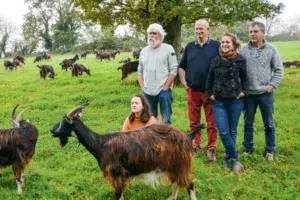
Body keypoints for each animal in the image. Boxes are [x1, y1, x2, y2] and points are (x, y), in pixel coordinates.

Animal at [50, 104, 205, 199]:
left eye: (64, 123)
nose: (51, 130)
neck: (100, 144)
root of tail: (187, 136)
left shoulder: (116, 174)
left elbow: (118, 195)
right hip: (172, 165)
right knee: (176, 181)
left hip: (180, 163)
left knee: (189, 184)